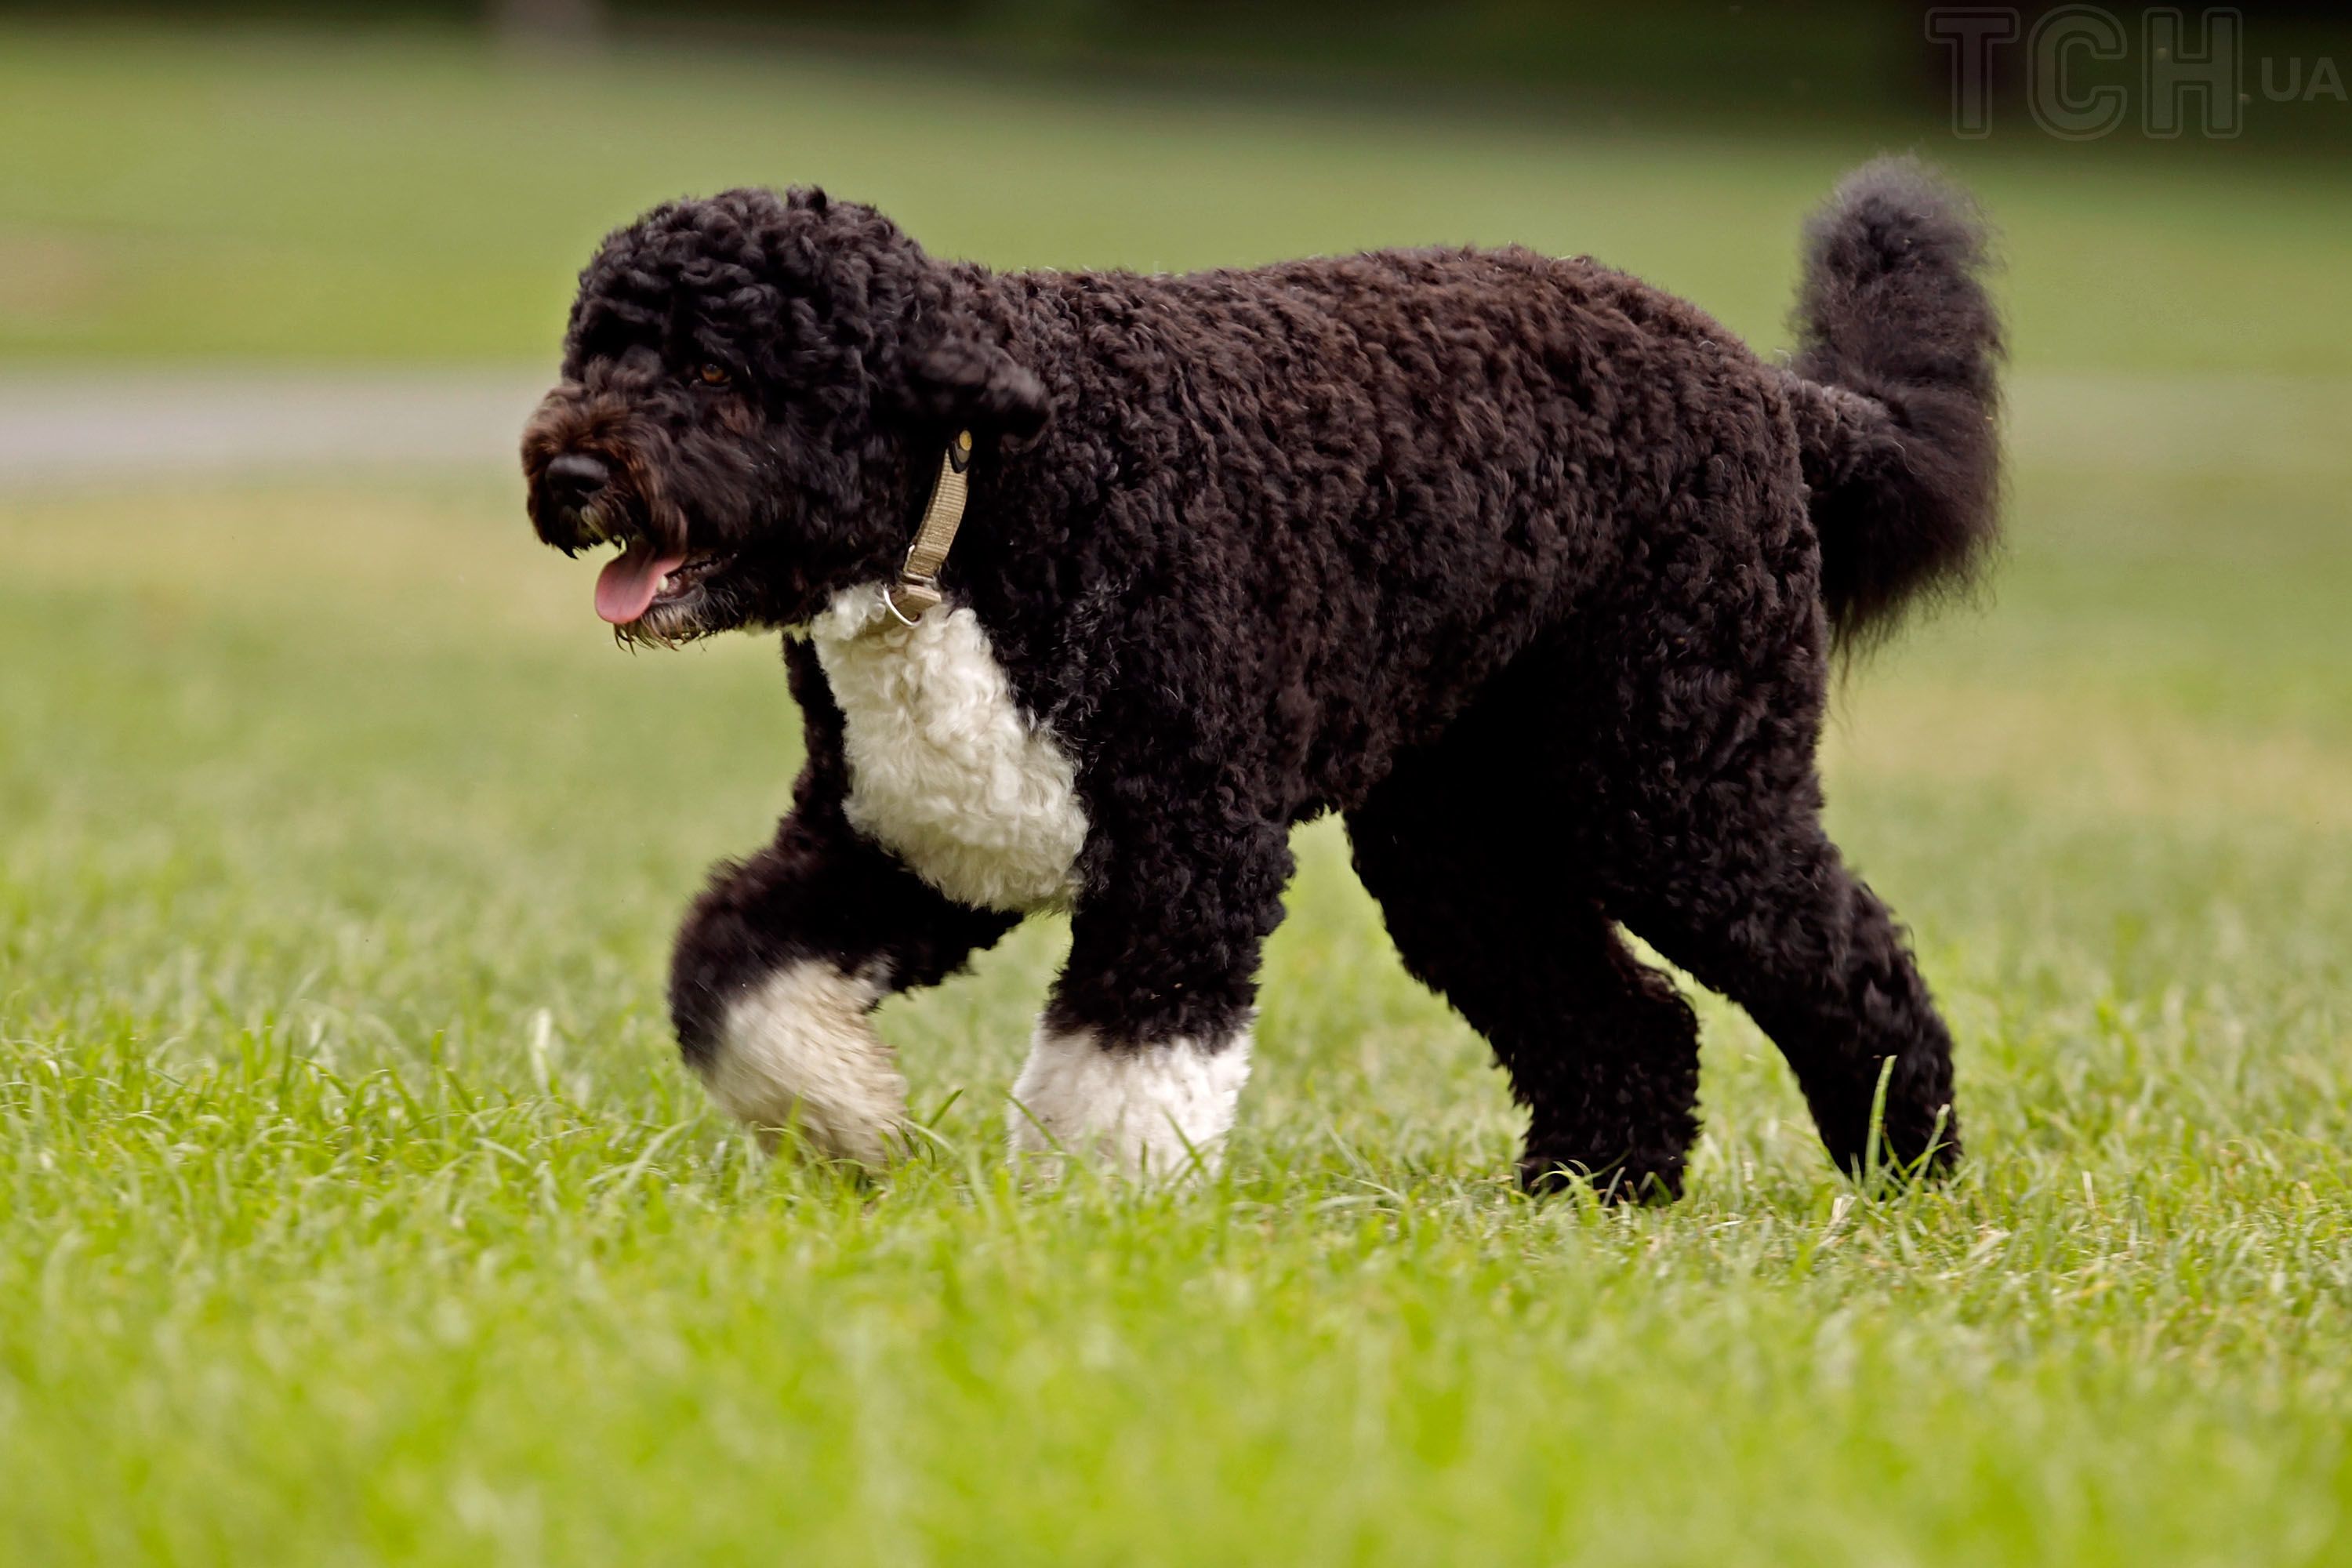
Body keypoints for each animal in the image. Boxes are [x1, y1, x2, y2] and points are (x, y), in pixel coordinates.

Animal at [524, 152, 1994, 1194]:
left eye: (718, 369)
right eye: (595, 348)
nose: (568, 471)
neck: (982, 506)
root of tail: (1770, 390)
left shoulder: (1190, 849)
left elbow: (1124, 1075)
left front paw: (1091, 1235)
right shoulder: (908, 841)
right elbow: (732, 973)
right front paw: (847, 1119)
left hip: (1673, 784)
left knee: (1850, 958)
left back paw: (1906, 1165)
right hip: (1462, 839)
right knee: (1625, 1018)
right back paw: (1590, 1194)